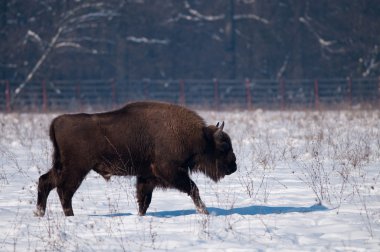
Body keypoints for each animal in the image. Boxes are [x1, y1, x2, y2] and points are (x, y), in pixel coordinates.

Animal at [36, 101, 238, 216]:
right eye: (223, 146)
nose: (233, 166)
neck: (198, 137)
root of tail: (57, 121)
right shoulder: (169, 172)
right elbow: (194, 189)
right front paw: (206, 212)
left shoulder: (147, 176)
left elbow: (144, 200)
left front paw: (140, 216)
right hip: (76, 169)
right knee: (64, 191)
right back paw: (69, 216)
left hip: (61, 166)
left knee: (45, 182)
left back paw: (40, 213)